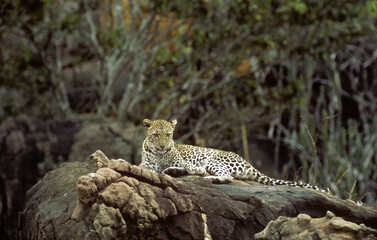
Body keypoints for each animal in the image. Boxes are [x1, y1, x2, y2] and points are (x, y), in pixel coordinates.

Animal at [140, 118, 328, 193]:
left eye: (168, 135)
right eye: (156, 135)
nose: (163, 146)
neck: (159, 155)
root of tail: (247, 162)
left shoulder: (187, 163)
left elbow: (191, 168)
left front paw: (175, 170)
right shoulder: (147, 166)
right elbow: (146, 168)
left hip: (214, 161)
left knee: (226, 176)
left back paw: (210, 179)